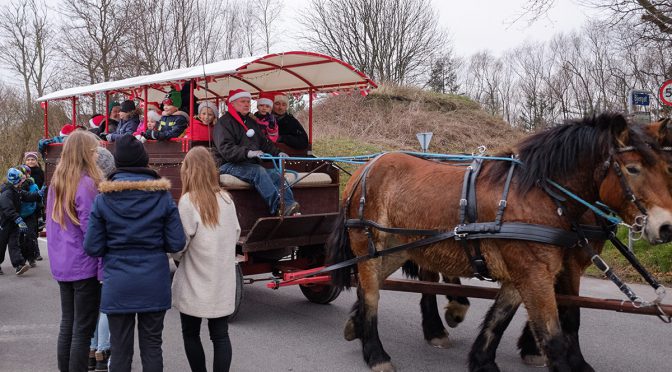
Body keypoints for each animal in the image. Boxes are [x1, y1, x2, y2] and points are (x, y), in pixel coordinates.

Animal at [328, 114, 672, 372]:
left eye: (666, 168)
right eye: (632, 168)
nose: (665, 226)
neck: (539, 196)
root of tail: (365, 168)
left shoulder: (528, 271)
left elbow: (499, 319)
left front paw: (484, 361)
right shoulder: (539, 272)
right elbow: (558, 332)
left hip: (397, 248)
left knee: (373, 284)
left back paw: (360, 326)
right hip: (368, 244)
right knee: (371, 291)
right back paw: (377, 353)